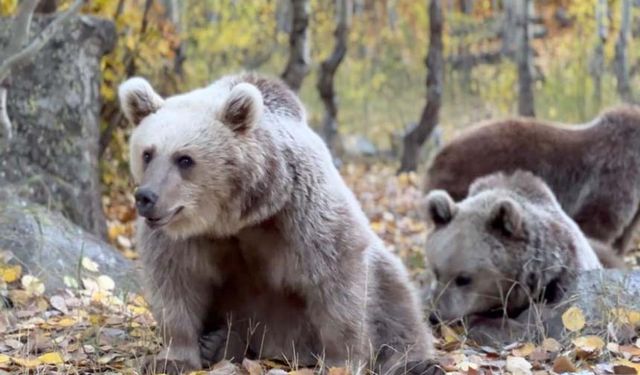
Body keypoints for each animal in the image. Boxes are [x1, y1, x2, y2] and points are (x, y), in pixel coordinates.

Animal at [117, 73, 438, 375]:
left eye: (185, 159)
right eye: (147, 153)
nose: (146, 197)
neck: (234, 217)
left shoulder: (300, 212)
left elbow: (337, 281)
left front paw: (340, 362)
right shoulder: (180, 238)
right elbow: (175, 285)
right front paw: (171, 359)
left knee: (397, 299)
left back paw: (417, 362)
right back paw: (218, 343)